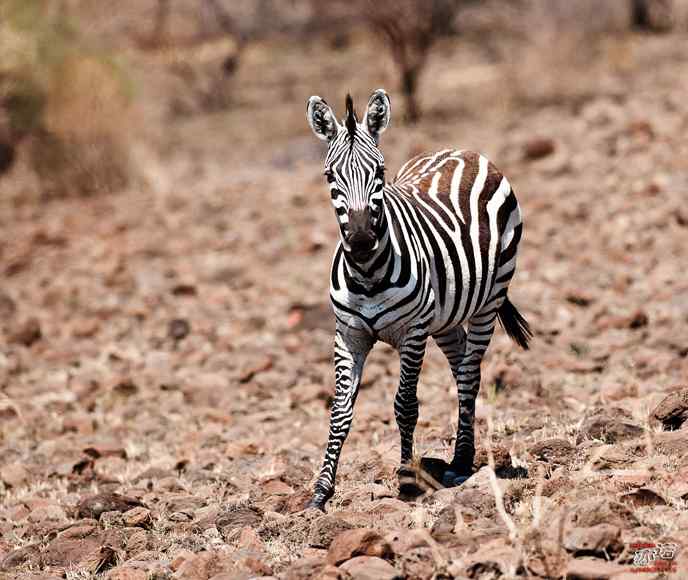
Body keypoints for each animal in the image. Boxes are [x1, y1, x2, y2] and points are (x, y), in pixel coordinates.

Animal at [304, 88, 528, 510]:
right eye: (329, 176)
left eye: (379, 171)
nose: (361, 240)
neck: (367, 273)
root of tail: (461, 151)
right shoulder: (348, 335)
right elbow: (340, 412)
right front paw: (321, 493)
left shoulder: (413, 331)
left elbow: (406, 404)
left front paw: (407, 479)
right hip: (446, 318)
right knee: (461, 368)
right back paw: (462, 454)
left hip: (488, 301)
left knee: (470, 374)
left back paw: (460, 463)